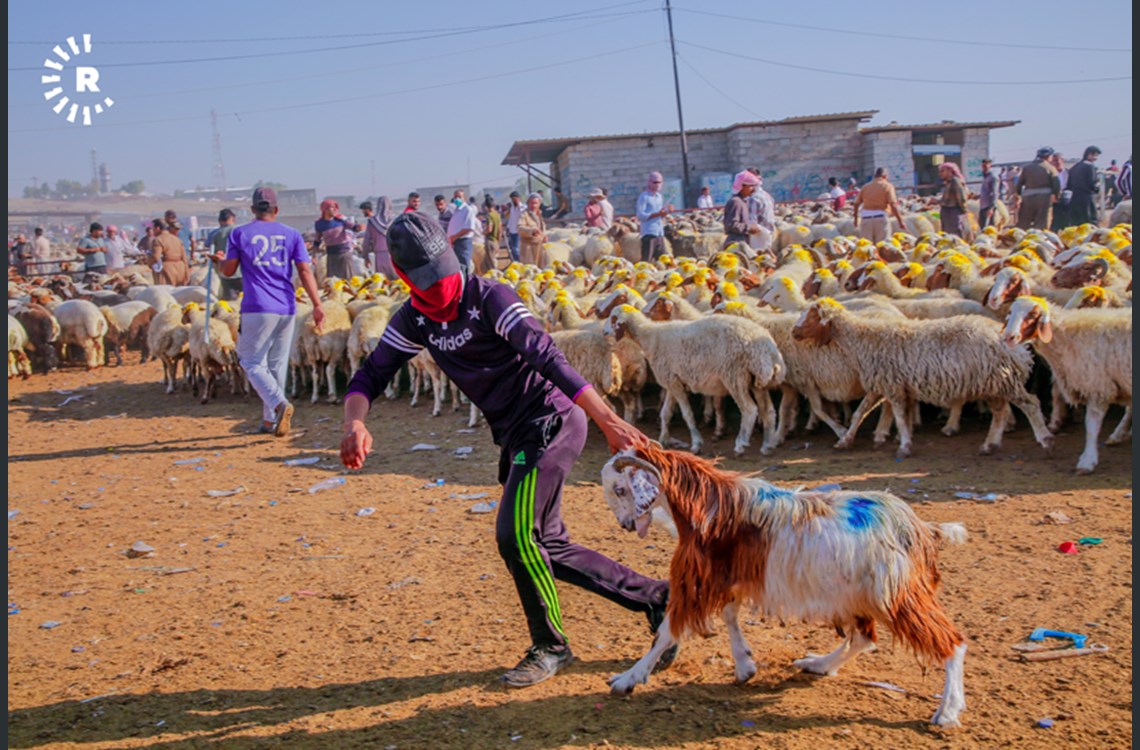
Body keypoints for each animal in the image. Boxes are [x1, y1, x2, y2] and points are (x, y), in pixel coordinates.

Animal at [606, 300, 784, 453]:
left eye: (613, 318)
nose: (604, 331)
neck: (650, 338)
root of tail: (767, 348)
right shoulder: (672, 382)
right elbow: (665, 413)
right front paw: (663, 439)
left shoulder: (675, 384)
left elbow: (687, 414)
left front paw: (696, 443)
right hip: (756, 380)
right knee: (768, 411)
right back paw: (767, 445)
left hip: (735, 376)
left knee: (749, 409)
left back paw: (741, 444)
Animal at [793, 298, 1048, 455]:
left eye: (812, 316)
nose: (794, 333)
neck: (864, 340)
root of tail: (1014, 343)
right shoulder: (879, 384)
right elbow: (859, 413)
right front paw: (844, 440)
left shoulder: (893, 386)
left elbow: (898, 417)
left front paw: (904, 445)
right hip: (993, 383)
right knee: (1000, 412)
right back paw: (990, 445)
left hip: (1004, 380)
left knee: (1031, 404)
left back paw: (1044, 439)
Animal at [1003, 294, 1126, 469]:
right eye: (1010, 312)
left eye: (1033, 314)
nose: (1009, 337)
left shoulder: (1098, 385)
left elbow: (1092, 426)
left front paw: (1087, 461)